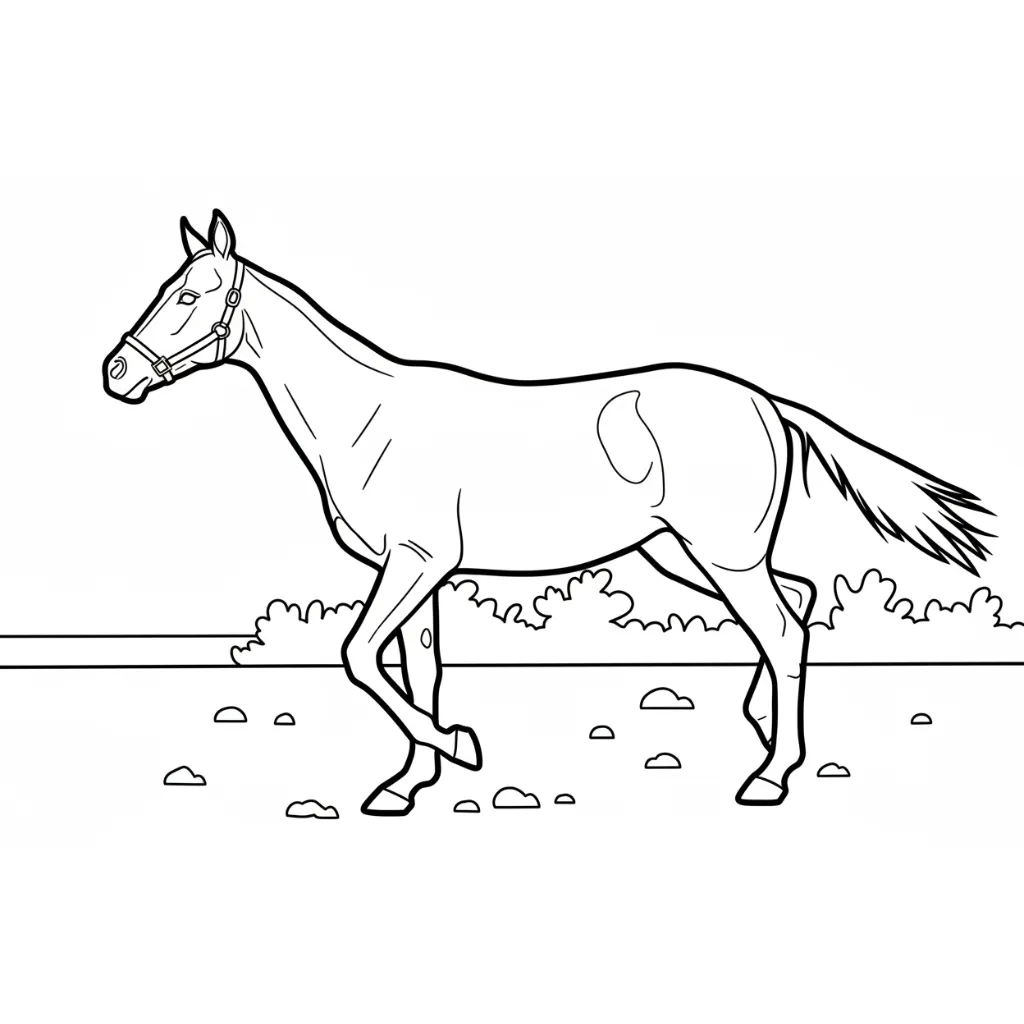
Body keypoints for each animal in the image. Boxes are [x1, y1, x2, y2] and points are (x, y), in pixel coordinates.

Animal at [103, 210, 993, 814]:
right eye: (165, 289)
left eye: (192, 294)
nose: (116, 373)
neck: (366, 418)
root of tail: (764, 402)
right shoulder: (423, 573)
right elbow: (418, 668)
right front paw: (409, 785)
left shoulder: (415, 563)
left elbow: (358, 655)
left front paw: (457, 750)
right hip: (682, 555)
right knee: (800, 603)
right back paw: (759, 724)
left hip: (719, 555)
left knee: (781, 626)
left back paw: (771, 775)